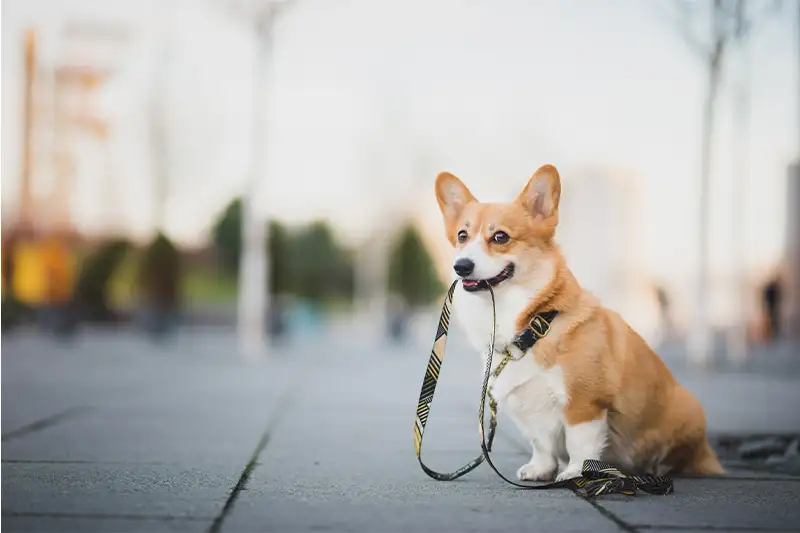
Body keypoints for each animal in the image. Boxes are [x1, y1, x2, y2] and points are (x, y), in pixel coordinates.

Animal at [438, 164, 724, 480]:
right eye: (462, 235)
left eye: (500, 237)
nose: (461, 266)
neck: (533, 326)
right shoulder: (531, 410)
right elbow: (541, 444)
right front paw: (540, 470)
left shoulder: (584, 403)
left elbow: (580, 443)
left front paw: (577, 473)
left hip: (688, 411)